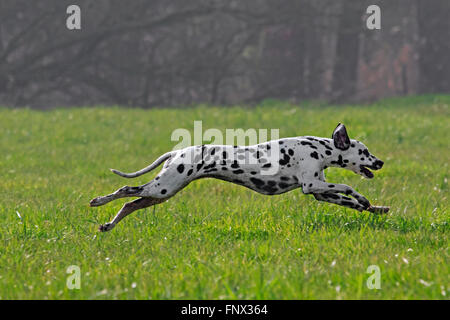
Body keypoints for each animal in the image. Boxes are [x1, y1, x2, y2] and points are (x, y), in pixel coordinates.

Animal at [89, 123, 388, 232]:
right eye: (365, 152)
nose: (381, 162)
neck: (318, 149)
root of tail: (177, 152)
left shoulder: (321, 192)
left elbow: (353, 201)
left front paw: (375, 207)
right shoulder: (312, 185)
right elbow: (347, 185)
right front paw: (363, 198)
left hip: (160, 194)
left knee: (130, 203)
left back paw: (108, 225)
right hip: (161, 188)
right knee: (125, 190)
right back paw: (98, 201)